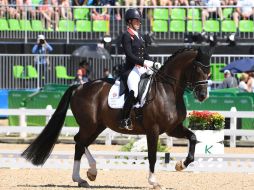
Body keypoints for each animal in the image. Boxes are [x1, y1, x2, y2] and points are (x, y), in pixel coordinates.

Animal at [21, 45, 212, 189]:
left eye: (209, 71)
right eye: (197, 68)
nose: (203, 95)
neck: (167, 90)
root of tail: (79, 87)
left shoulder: (172, 128)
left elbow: (193, 138)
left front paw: (181, 165)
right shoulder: (153, 130)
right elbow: (152, 155)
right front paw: (154, 181)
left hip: (98, 126)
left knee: (81, 143)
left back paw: (88, 175)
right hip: (90, 125)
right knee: (79, 142)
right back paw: (82, 176)